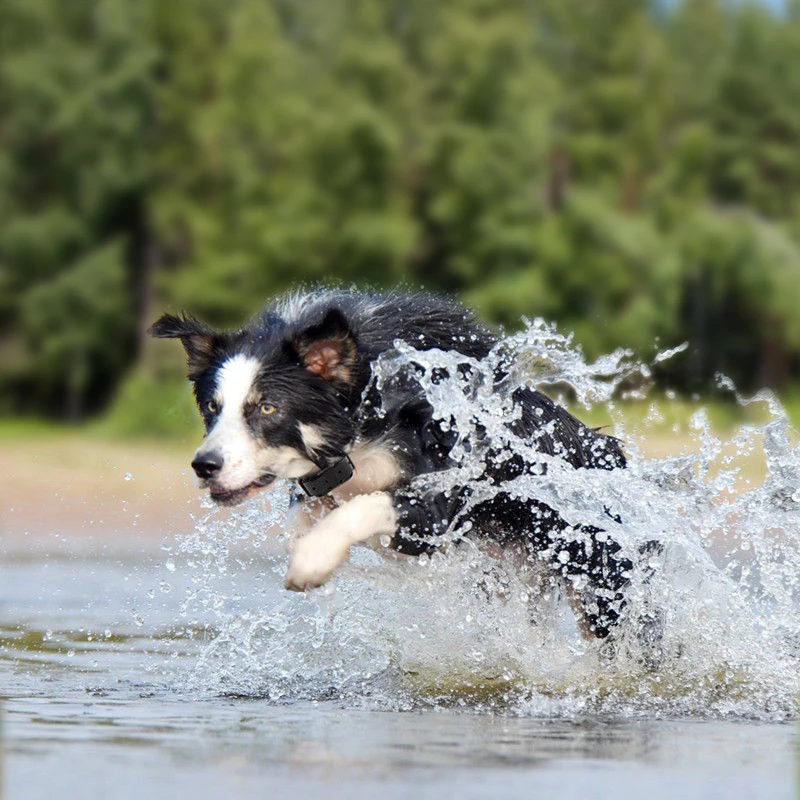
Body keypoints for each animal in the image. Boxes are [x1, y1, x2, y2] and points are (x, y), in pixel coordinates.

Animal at [150, 290, 636, 640]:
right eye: (212, 408)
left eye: (267, 408)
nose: (204, 466)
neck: (366, 408)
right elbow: (305, 521)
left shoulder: (440, 502)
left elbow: (367, 507)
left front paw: (313, 561)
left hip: (600, 583)